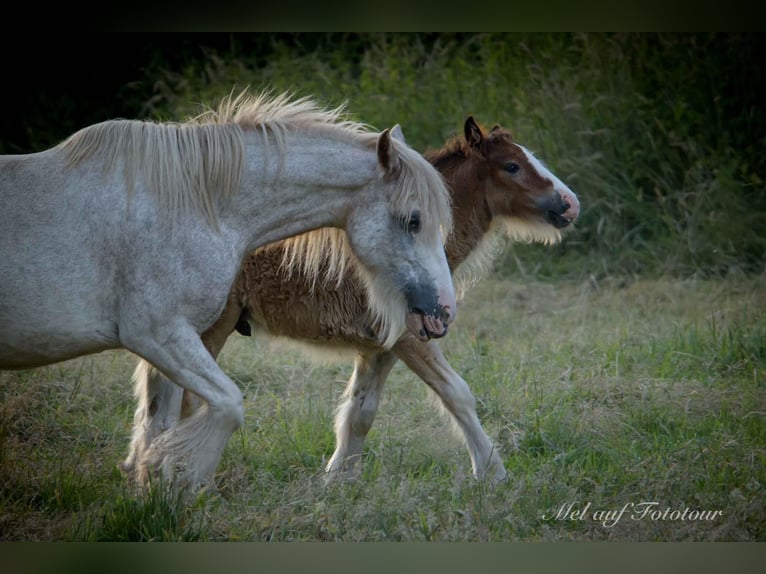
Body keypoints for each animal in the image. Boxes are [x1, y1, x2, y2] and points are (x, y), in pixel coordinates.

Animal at [0, 90, 456, 496]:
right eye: (413, 221)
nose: (445, 310)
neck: (195, 203)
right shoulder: (157, 335)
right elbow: (227, 405)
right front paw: (178, 478)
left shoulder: (172, 342)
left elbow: (161, 422)